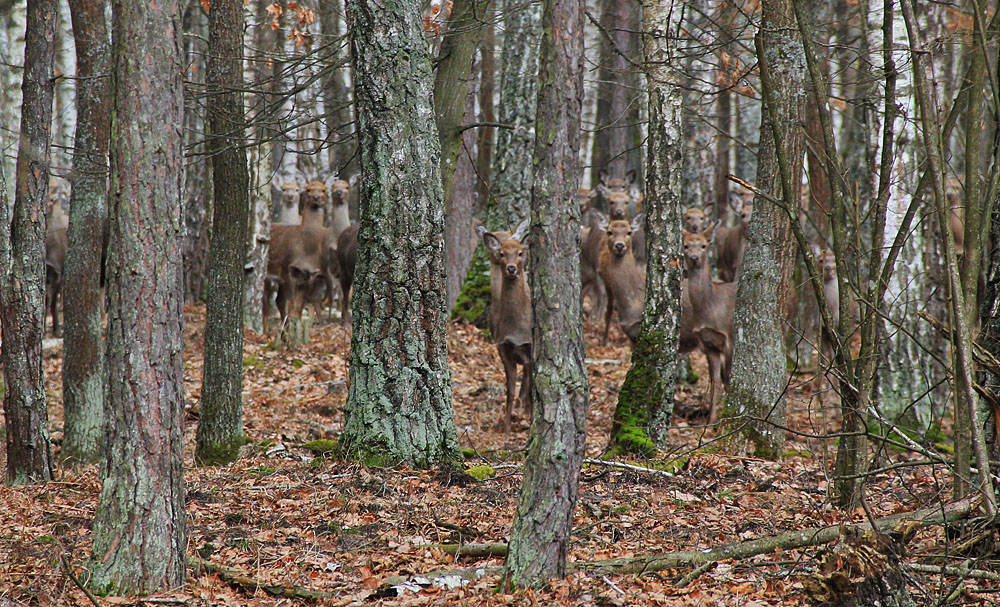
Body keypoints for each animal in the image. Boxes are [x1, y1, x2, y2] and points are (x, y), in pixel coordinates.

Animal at [476, 217, 532, 432]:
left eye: (520, 252)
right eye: (501, 252)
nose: (511, 268)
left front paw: (528, 419)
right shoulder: (502, 347)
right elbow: (510, 391)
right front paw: (506, 428)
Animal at [684, 226, 740, 426]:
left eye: (703, 245)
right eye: (685, 245)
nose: (694, 258)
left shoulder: (730, 337)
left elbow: (728, 378)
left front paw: (725, 423)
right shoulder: (707, 345)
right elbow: (715, 380)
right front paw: (711, 423)